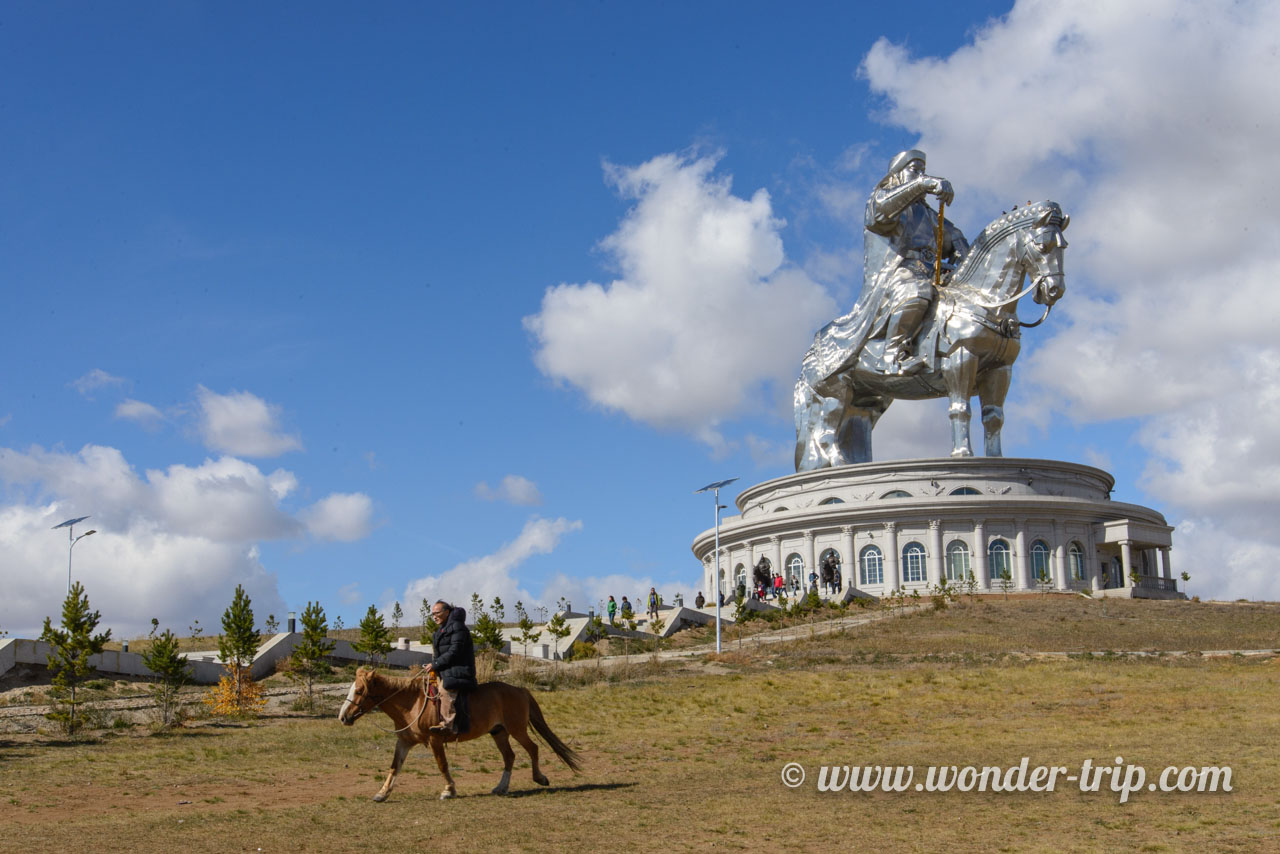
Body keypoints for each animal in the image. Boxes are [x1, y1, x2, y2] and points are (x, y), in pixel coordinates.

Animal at [337, 665, 583, 804]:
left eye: (360, 691)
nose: (342, 717)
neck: (412, 702)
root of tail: (519, 689)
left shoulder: (435, 740)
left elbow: (442, 765)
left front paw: (449, 790)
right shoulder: (404, 742)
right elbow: (394, 767)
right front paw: (382, 793)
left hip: (517, 729)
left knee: (533, 748)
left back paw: (539, 778)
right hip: (499, 732)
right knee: (509, 756)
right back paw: (501, 787)